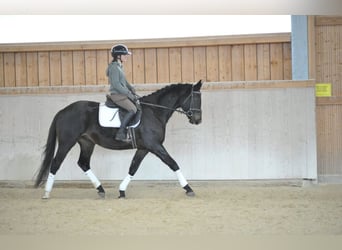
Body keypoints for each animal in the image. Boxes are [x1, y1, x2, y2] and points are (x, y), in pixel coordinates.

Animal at [34, 80, 203, 199]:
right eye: (195, 98)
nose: (197, 120)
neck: (154, 111)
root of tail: (63, 111)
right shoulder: (154, 145)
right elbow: (173, 163)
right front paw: (188, 189)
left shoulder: (144, 148)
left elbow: (133, 168)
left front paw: (121, 191)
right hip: (66, 143)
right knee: (56, 163)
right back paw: (46, 193)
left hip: (87, 143)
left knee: (83, 163)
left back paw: (100, 190)